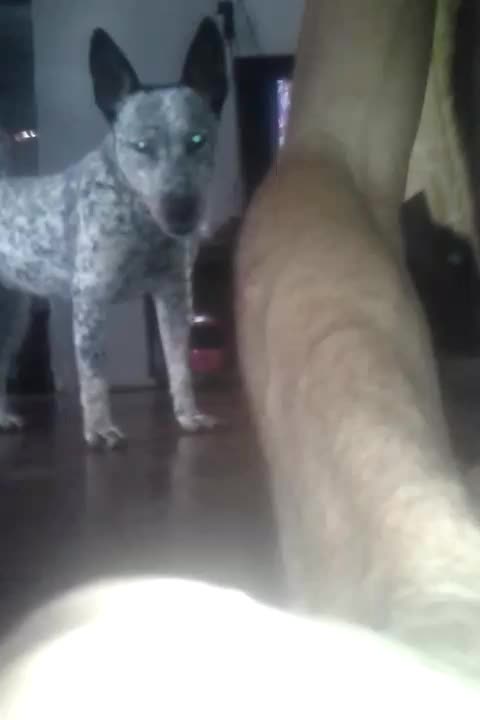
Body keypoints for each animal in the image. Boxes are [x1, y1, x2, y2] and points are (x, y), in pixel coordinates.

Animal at [0, 18, 227, 448]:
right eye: (141, 146)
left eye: (197, 140)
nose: (182, 213)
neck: (143, 222)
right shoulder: (90, 298)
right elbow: (94, 378)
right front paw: (99, 428)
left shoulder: (175, 296)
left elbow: (179, 365)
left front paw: (188, 415)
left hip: (15, 318)